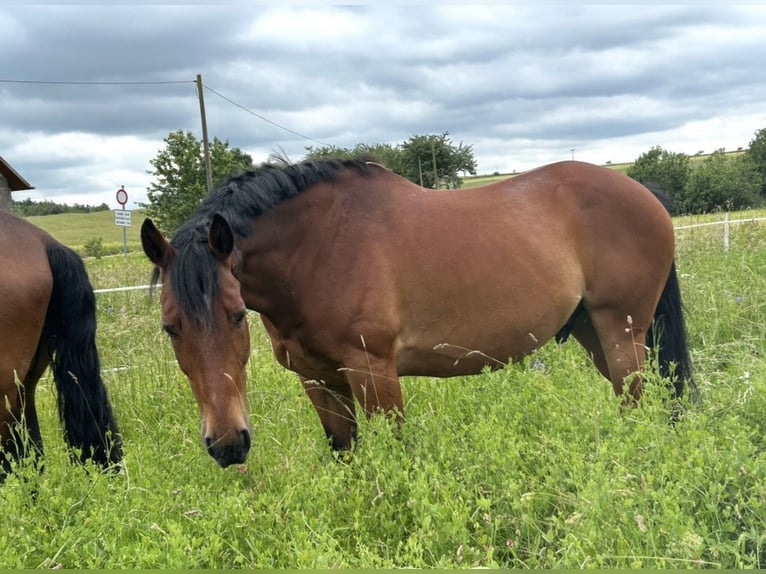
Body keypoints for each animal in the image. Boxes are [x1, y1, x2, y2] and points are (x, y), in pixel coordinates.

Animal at [141, 158, 696, 468]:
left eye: (236, 315)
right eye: (170, 328)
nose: (228, 444)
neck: (317, 250)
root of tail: (646, 195)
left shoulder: (374, 373)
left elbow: (396, 452)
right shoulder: (318, 381)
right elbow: (346, 456)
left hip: (620, 331)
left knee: (635, 400)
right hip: (594, 332)